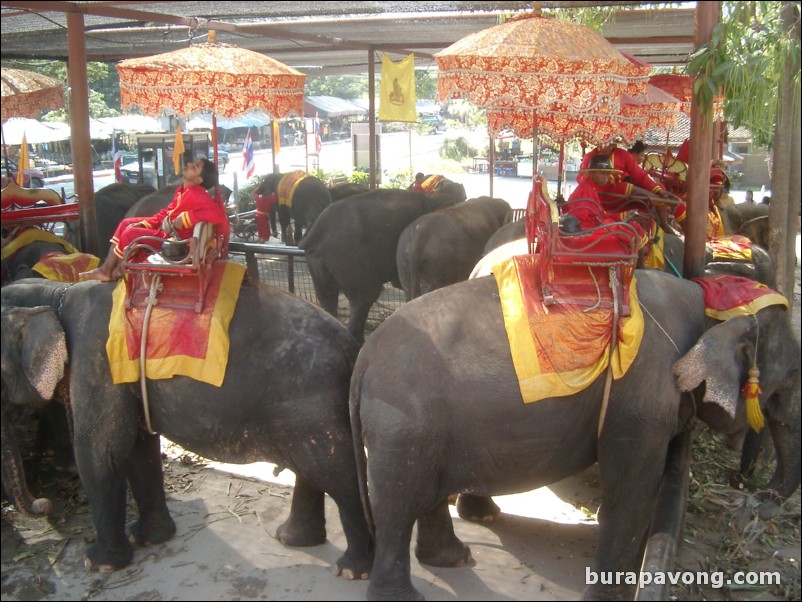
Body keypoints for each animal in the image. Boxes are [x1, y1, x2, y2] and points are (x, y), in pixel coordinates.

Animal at [0, 276, 372, 576]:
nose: (44, 504)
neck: (55, 293)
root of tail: (352, 347)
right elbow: (139, 448)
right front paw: (149, 538)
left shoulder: (96, 363)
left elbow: (101, 452)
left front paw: (99, 564)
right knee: (313, 468)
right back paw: (293, 539)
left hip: (311, 405)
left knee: (337, 473)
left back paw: (353, 570)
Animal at [298, 186, 462, 342]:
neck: (432, 197)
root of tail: (314, 234)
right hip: (351, 257)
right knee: (366, 295)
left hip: (318, 263)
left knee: (328, 298)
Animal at [352, 268, 800, 600]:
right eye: (794, 372)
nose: (757, 494)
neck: (701, 298)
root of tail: (365, 356)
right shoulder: (641, 400)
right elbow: (631, 491)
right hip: (403, 426)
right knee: (398, 506)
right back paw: (407, 592)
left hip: (422, 428)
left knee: (425, 493)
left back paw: (453, 558)